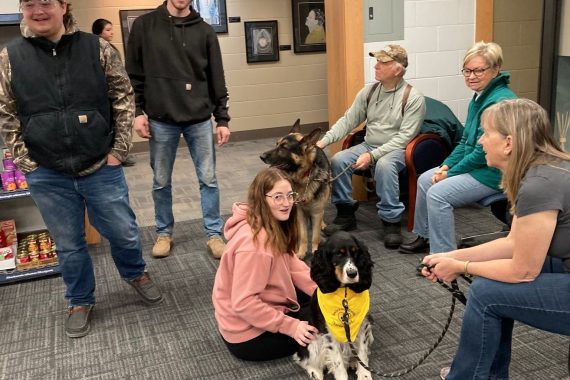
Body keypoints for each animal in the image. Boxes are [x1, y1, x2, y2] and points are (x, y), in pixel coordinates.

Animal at [260, 119, 330, 258]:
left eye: (284, 147)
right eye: (277, 144)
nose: (261, 156)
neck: (304, 178)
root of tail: (315, 145)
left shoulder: (316, 212)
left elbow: (315, 236)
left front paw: (315, 251)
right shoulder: (300, 213)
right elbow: (303, 236)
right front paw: (301, 252)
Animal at [292, 232, 372, 380]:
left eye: (355, 252)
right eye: (338, 254)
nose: (352, 274)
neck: (344, 293)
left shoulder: (363, 326)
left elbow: (362, 354)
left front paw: (365, 375)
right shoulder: (329, 332)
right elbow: (337, 361)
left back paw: (353, 362)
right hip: (312, 340)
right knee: (302, 358)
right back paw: (315, 372)